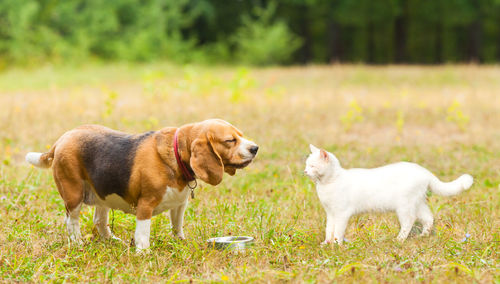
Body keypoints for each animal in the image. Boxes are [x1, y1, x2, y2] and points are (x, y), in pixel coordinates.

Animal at [25, 118, 258, 250]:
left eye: (241, 135)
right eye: (230, 141)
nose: (255, 148)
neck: (176, 154)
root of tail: (62, 139)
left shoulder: (179, 205)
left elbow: (177, 226)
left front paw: (180, 242)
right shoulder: (145, 205)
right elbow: (143, 234)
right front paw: (144, 253)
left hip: (102, 194)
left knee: (99, 220)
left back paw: (111, 241)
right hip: (73, 194)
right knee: (71, 222)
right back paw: (77, 243)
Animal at [304, 144, 472, 244]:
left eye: (312, 166)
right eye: (306, 165)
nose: (305, 171)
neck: (327, 184)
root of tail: (424, 171)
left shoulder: (341, 213)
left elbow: (338, 231)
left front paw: (337, 245)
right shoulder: (330, 213)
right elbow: (329, 229)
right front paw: (327, 244)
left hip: (405, 207)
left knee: (408, 222)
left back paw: (399, 240)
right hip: (418, 204)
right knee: (429, 218)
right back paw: (422, 236)